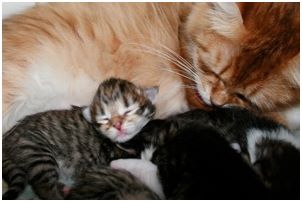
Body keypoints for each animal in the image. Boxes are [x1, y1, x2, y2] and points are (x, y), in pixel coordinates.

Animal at [2, 77, 158, 199]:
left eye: (128, 111)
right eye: (104, 119)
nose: (117, 125)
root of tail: (7, 137)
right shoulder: (111, 157)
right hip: (37, 152)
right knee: (45, 188)